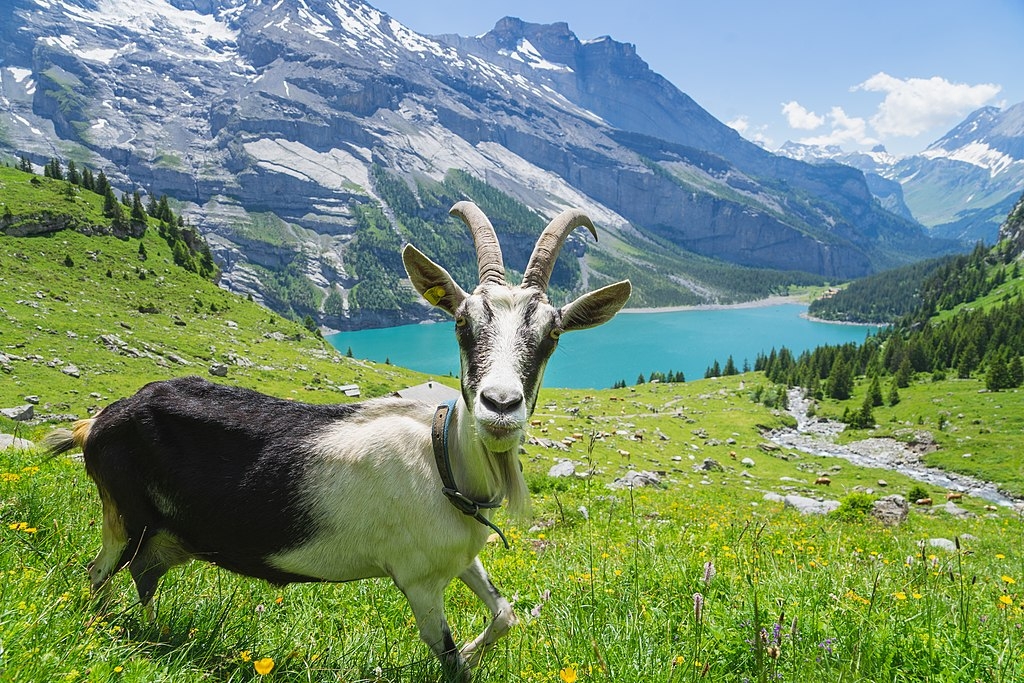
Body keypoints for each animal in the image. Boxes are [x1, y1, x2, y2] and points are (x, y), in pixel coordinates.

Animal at [48, 200, 630, 679]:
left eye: (552, 334)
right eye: (463, 323)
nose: (500, 406)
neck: (443, 463)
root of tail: (97, 422)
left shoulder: (463, 559)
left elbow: (506, 614)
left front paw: (472, 645)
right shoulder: (418, 581)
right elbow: (448, 662)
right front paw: (462, 654)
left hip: (163, 535)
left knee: (142, 576)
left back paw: (155, 637)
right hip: (126, 516)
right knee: (97, 575)